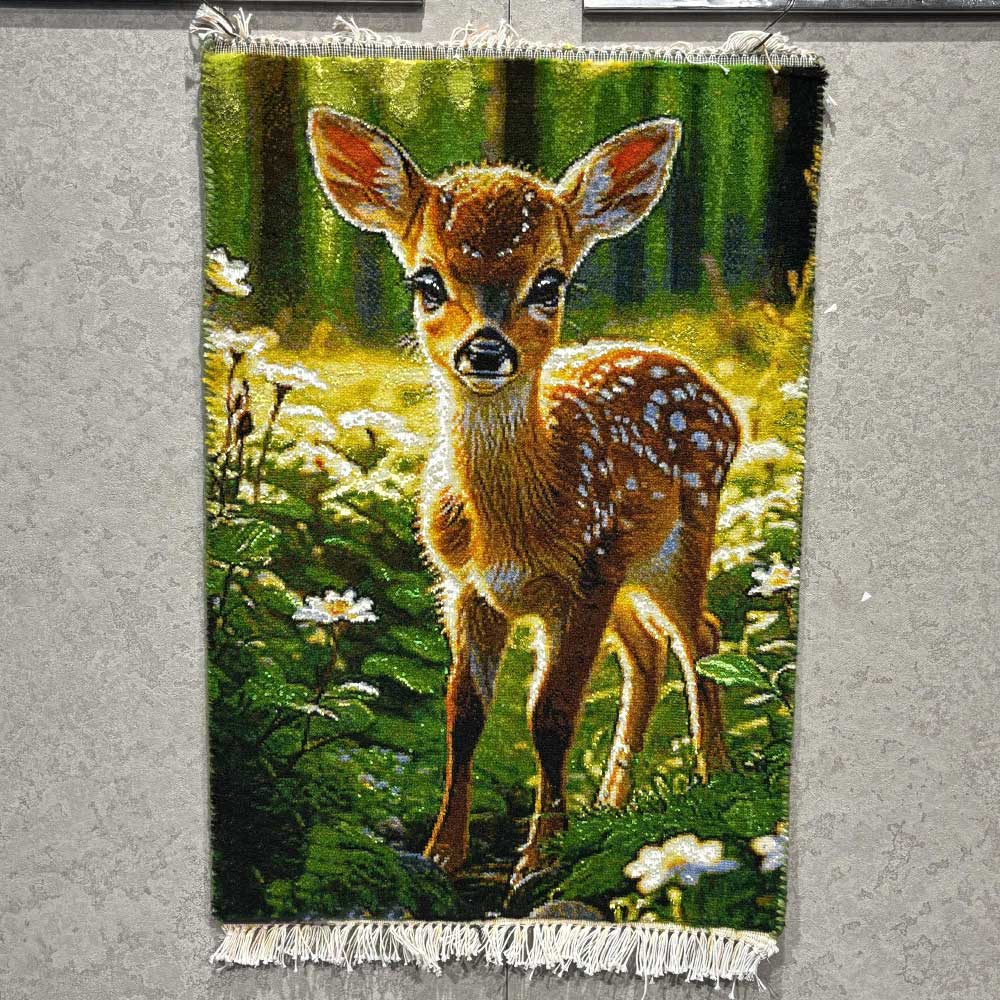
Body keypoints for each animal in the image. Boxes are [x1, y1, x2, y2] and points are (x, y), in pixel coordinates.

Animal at [308, 108, 739, 883]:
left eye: (549, 283)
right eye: (426, 281)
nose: (485, 351)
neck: (513, 524)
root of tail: (725, 406)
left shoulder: (586, 575)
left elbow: (552, 715)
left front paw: (538, 860)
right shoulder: (466, 585)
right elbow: (464, 713)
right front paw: (442, 852)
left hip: (682, 535)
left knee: (702, 638)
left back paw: (712, 778)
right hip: (625, 576)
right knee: (648, 650)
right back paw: (610, 803)